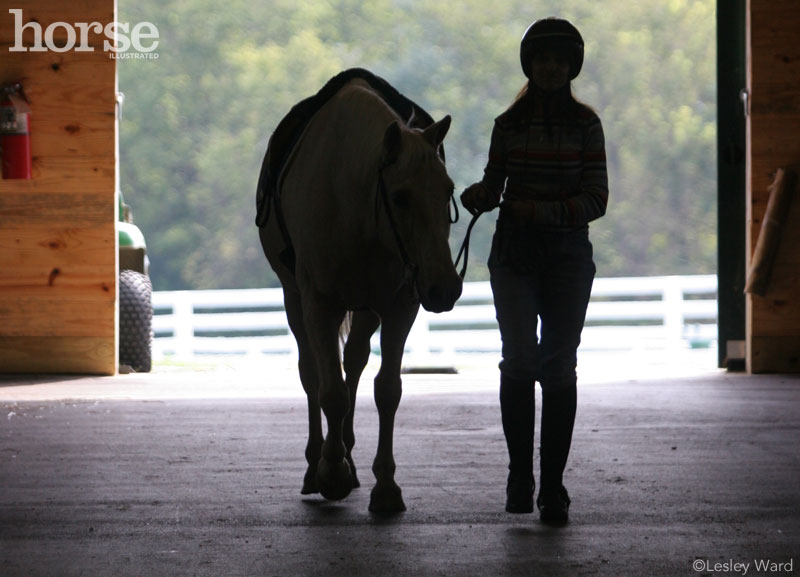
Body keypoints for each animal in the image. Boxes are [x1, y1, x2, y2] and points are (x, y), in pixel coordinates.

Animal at [253, 70, 460, 510]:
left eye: (448, 190)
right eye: (400, 196)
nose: (444, 288)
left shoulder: (400, 306)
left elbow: (387, 389)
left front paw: (386, 486)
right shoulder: (318, 304)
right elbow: (329, 390)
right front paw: (331, 473)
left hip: (366, 308)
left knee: (355, 361)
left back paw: (348, 452)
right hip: (294, 299)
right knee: (312, 373)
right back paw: (317, 465)